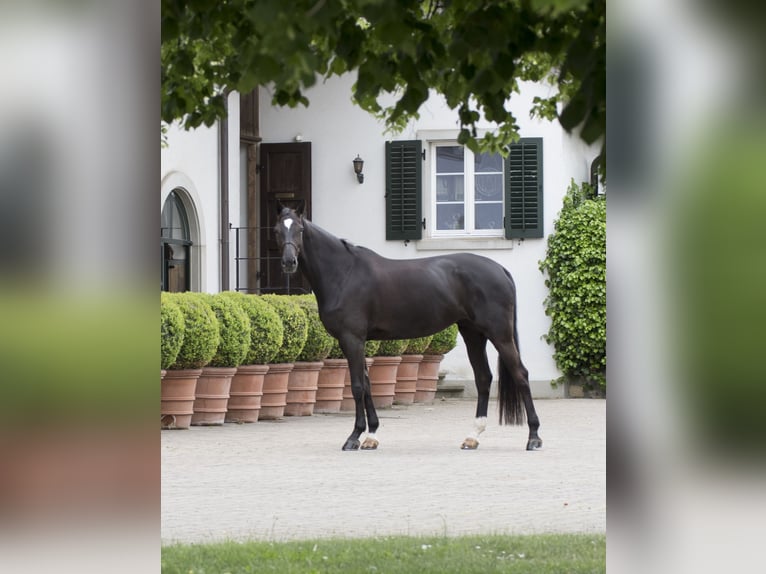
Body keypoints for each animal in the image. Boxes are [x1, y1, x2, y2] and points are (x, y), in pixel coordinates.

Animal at [273, 204, 542, 452]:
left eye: (299, 229)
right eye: (277, 230)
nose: (288, 262)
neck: (344, 273)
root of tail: (500, 270)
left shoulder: (352, 339)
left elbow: (358, 386)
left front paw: (354, 437)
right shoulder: (357, 342)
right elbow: (367, 386)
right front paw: (371, 436)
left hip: (500, 335)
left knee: (521, 374)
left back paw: (533, 437)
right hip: (473, 334)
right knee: (483, 378)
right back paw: (472, 437)